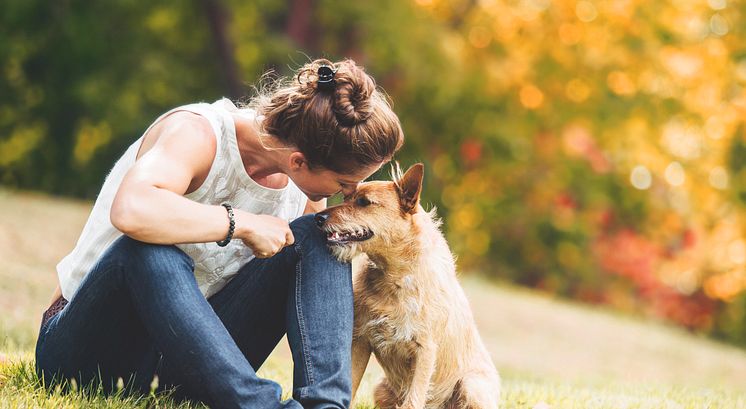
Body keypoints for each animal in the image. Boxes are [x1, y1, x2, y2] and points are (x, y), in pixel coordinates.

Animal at [310, 163, 496, 408]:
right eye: (346, 197)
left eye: (364, 202)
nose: (317, 218)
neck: (395, 277)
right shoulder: (360, 340)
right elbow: (350, 386)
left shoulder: (425, 351)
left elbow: (413, 400)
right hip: (381, 389)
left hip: (471, 386)